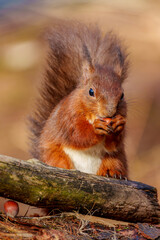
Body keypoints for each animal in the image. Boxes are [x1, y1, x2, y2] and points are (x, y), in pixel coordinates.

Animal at [29, 21, 129, 179]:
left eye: (122, 95)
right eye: (91, 92)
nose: (110, 112)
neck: (92, 115)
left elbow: (113, 144)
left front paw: (119, 125)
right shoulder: (67, 117)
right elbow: (77, 135)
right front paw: (95, 129)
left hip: (116, 158)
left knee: (112, 162)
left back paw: (113, 173)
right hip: (55, 154)